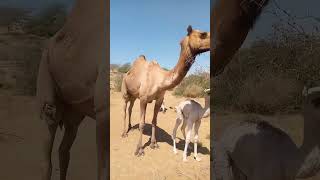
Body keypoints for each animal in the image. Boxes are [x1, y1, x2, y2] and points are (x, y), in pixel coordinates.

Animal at [37, 0, 108, 180]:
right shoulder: (104, 112)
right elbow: (104, 169)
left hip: (75, 110)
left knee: (65, 145)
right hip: (46, 65)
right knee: (50, 115)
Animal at [120, 25, 210, 156]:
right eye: (203, 34)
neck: (159, 80)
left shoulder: (159, 99)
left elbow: (154, 121)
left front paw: (153, 144)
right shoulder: (143, 99)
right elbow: (142, 124)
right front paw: (139, 149)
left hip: (134, 96)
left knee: (130, 108)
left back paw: (130, 127)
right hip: (125, 93)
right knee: (125, 110)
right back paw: (124, 133)